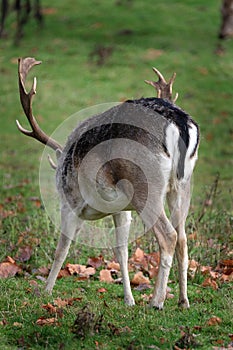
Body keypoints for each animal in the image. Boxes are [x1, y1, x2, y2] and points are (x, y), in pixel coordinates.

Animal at [16, 56, 199, 308]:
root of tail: (177, 122)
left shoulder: (70, 202)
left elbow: (62, 248)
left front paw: (45, 291)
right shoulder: (121, 210)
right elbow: (121, 250)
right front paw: (129, 300)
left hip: (146, 185)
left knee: (168, 235)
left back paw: (156, 301)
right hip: (182, 185)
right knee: (182, 238)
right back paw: (183, 301)